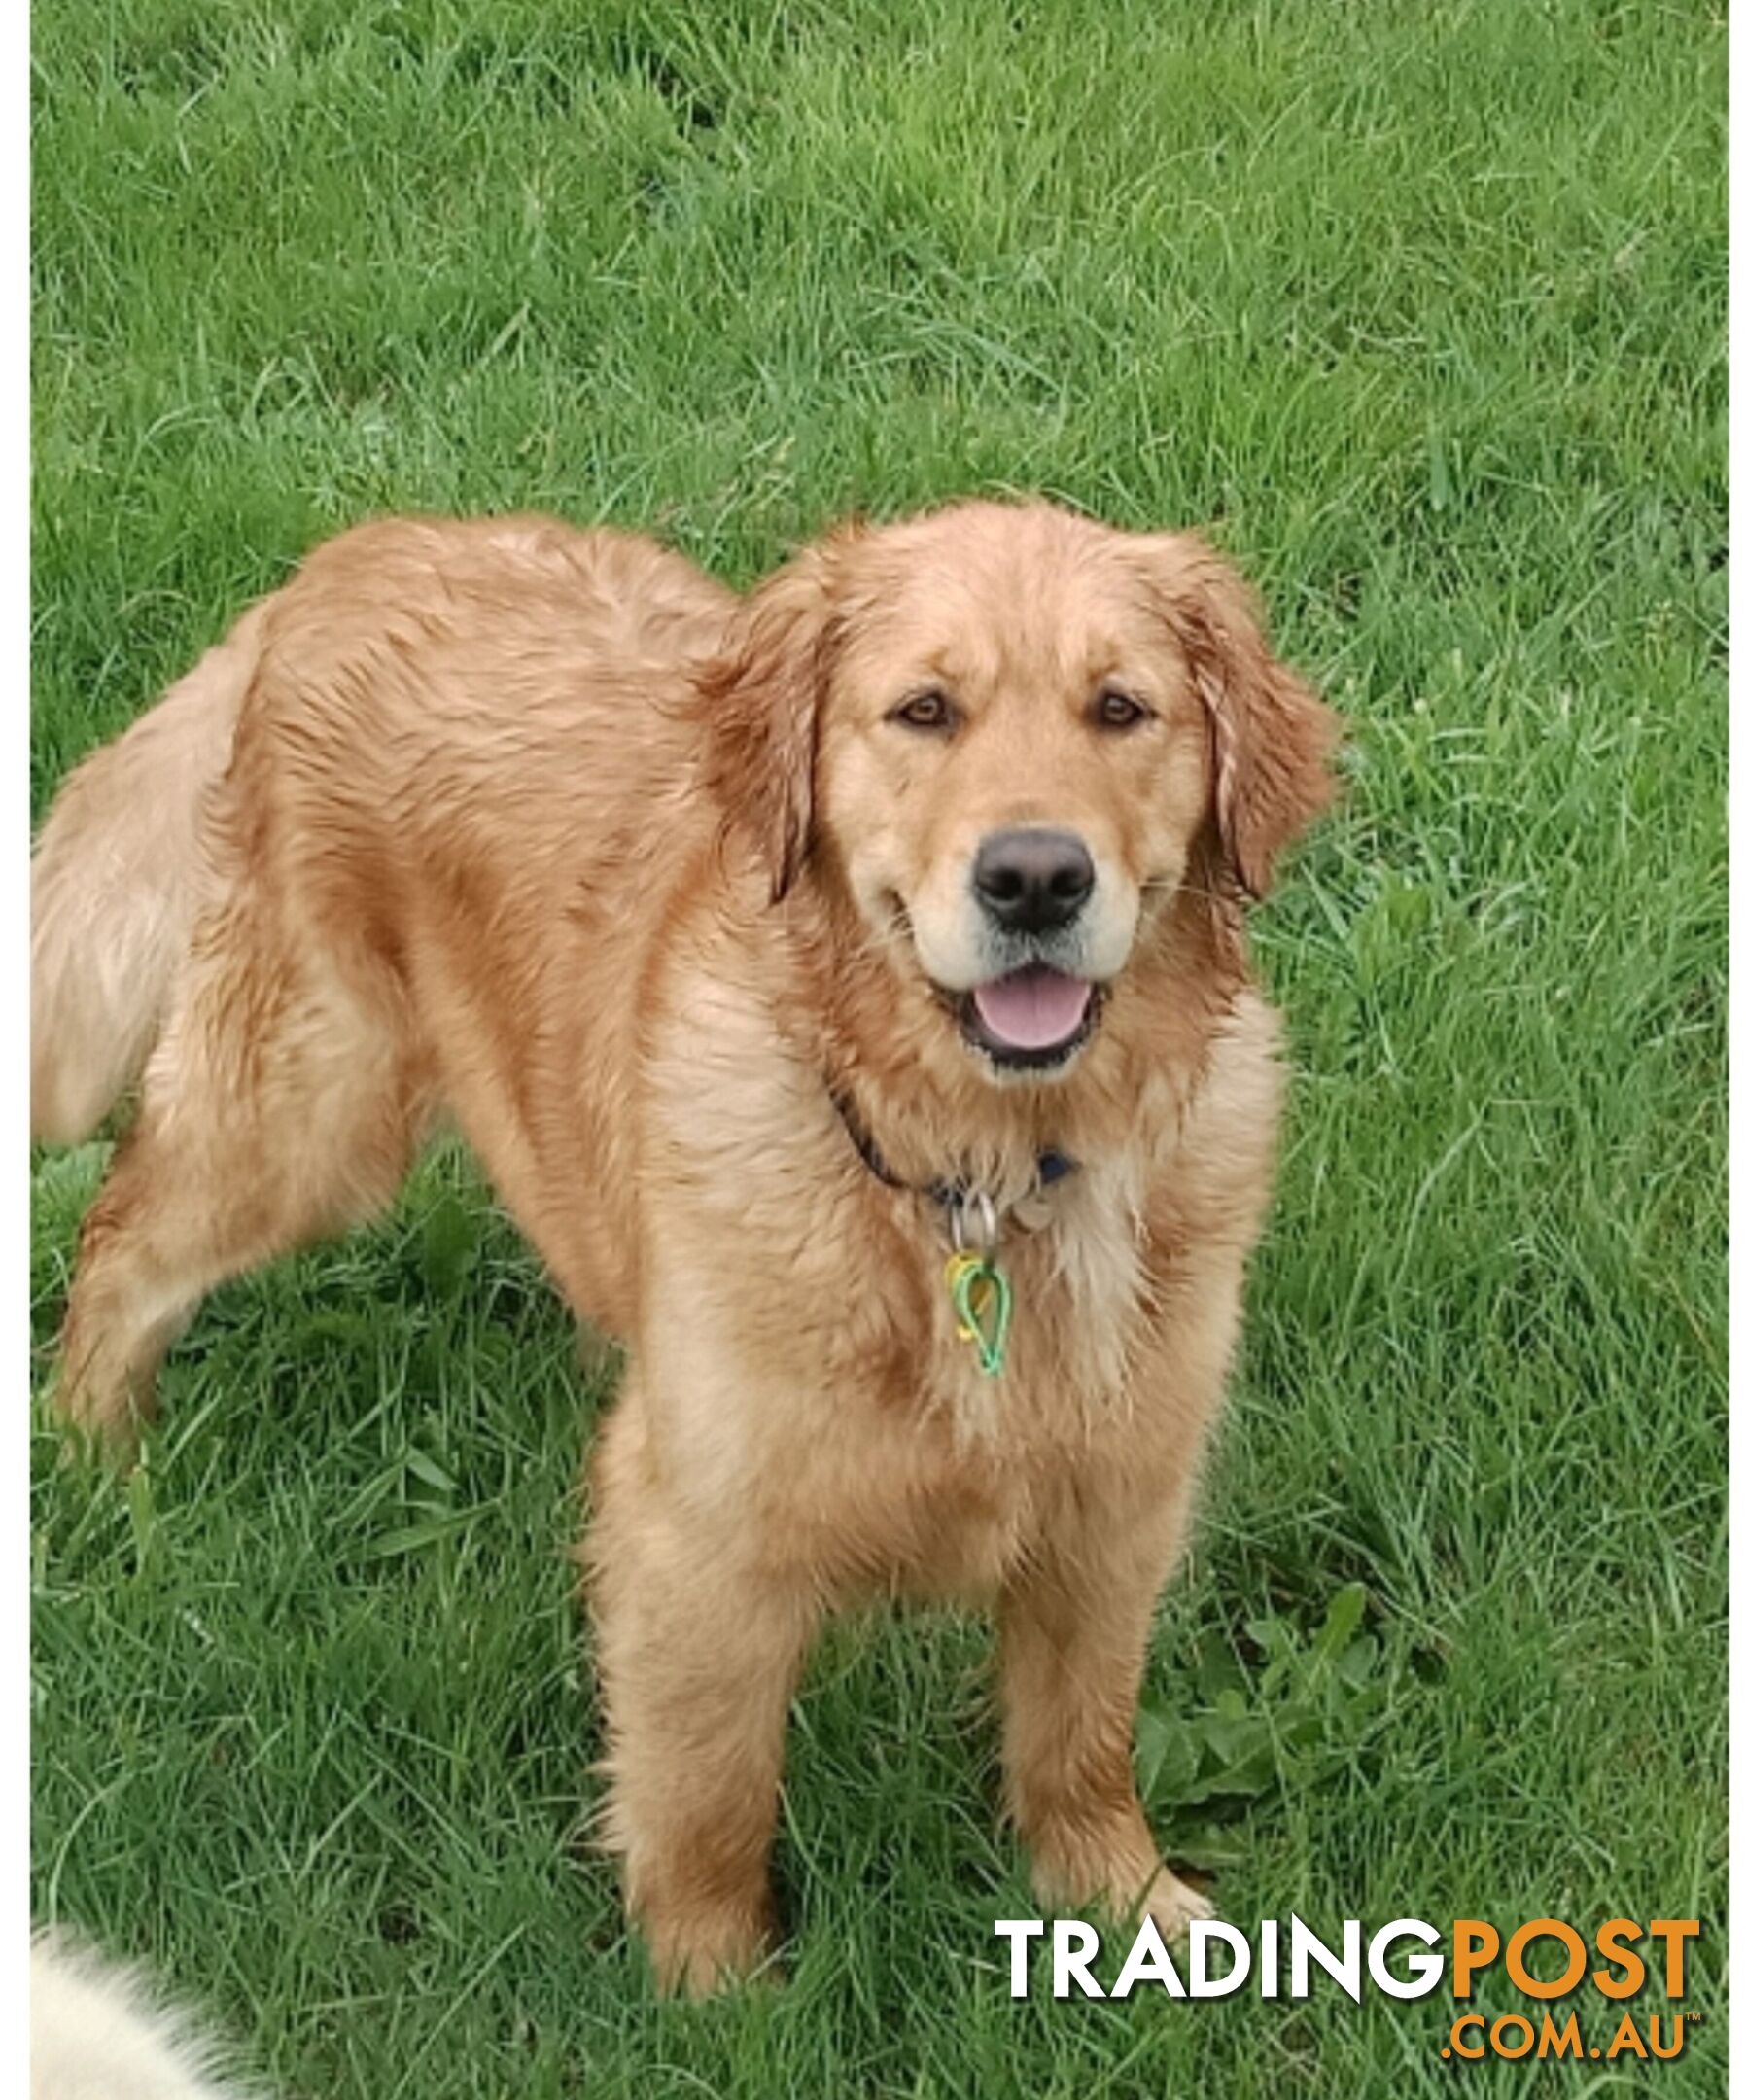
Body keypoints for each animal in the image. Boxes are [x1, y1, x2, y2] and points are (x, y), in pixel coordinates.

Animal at [30, 500, 1336, 1990]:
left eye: (1120, 708)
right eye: (924, 711)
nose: (1035, 878)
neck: (978, 1182)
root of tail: (352, 552)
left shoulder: (1121, 1501)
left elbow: (1081, 1736)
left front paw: (1121, 1905)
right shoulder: (697, 1535)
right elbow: (709, 1790)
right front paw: (717, 1990)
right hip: (304, 1117)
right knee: (122, 1237)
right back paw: (96, 1452)